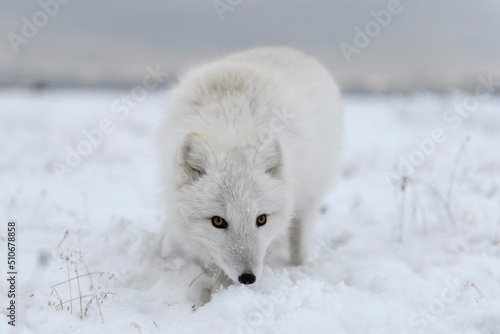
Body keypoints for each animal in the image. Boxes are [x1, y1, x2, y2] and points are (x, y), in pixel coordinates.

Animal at [158, 46, 342, 290]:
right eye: (218, 221)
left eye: (261, 219)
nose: (248, 278)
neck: (231, 126)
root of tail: (289, 49)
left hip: (309, 197)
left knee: (298, 237)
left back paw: (299, 266)